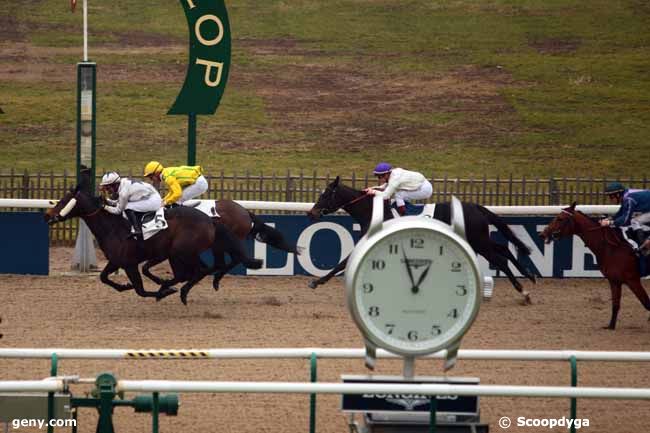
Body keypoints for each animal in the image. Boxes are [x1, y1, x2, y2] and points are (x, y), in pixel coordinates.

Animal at [43, 176, 264, 304]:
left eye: (63, 201)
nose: (47, 215)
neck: (113, 227)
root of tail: (210, 220)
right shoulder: (117, 260)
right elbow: (104, 277)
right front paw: (126, 286)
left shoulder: (130, 263)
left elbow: (141, 289)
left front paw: (162, 292)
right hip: (181, 253)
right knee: (200, 270)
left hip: (183, 251)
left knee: (202, 269)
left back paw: (182, 291)